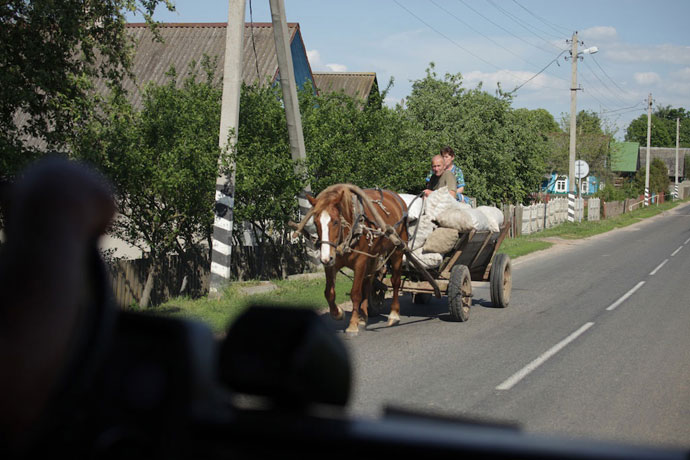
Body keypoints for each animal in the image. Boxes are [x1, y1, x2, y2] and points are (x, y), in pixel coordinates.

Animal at [298, 183, 406, 334]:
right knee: (368, 284)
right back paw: (364, 317)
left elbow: (355, 293)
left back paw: (394, 314)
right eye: (315, 222)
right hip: (373, 257)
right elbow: (329, 293)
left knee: (395, 282)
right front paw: (338, 313)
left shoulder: (360, 262)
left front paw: (353, 325)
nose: (325, 258)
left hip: (397, 250)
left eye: (335, 222)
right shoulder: (332, 264)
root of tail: (397, 197)